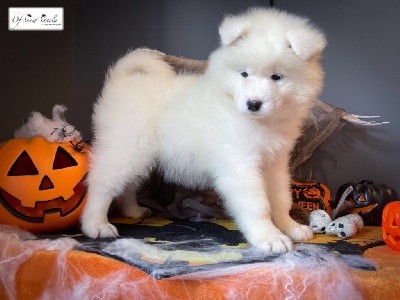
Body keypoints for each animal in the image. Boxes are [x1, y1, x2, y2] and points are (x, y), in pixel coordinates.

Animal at [81, 7, 324, 253]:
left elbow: (280, 199)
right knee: (102, 183)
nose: (253, 104)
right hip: (127, 148)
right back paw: (96, 224)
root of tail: (120, 81)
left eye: (277, 77)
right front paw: (268, 236)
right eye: (244, 74)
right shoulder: (240, 163)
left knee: (127, 185)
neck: (258, 121)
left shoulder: (274, 163)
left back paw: (133, 211)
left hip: (138, 154)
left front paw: (290, 227)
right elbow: (257, 204)